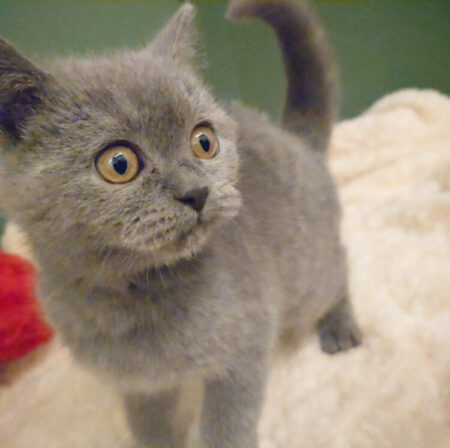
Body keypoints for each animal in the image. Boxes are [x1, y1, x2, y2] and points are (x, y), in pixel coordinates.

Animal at [0, 0, 362, 447]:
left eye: (204, 141)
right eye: (119, 163)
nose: (196, 192)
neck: (131, 295)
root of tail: (293, 138)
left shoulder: (245, 345)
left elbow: (227, 425)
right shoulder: (140, 384)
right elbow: (149, 424)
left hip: (307, 269)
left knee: (337, 268)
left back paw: (340, 325)